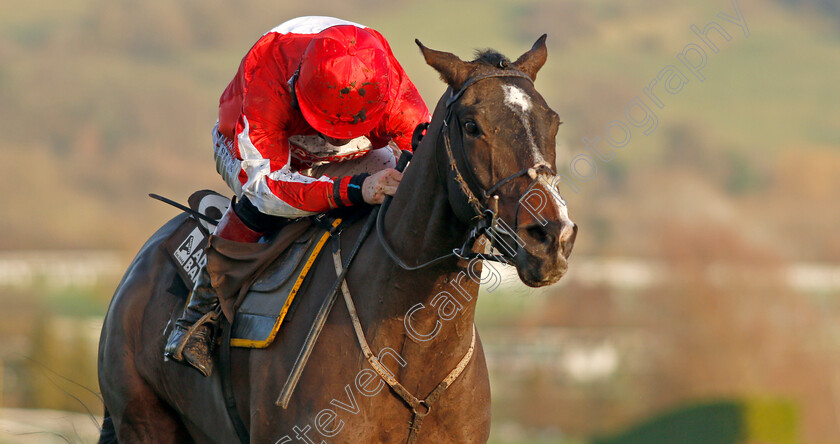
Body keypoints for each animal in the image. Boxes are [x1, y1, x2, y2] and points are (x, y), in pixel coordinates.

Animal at [95, 36, 576, 442]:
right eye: (472, 125)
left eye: (553, 122)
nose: (551, 237)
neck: (415, 346)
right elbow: (266, 182)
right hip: (144, 419)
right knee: (255, 201)